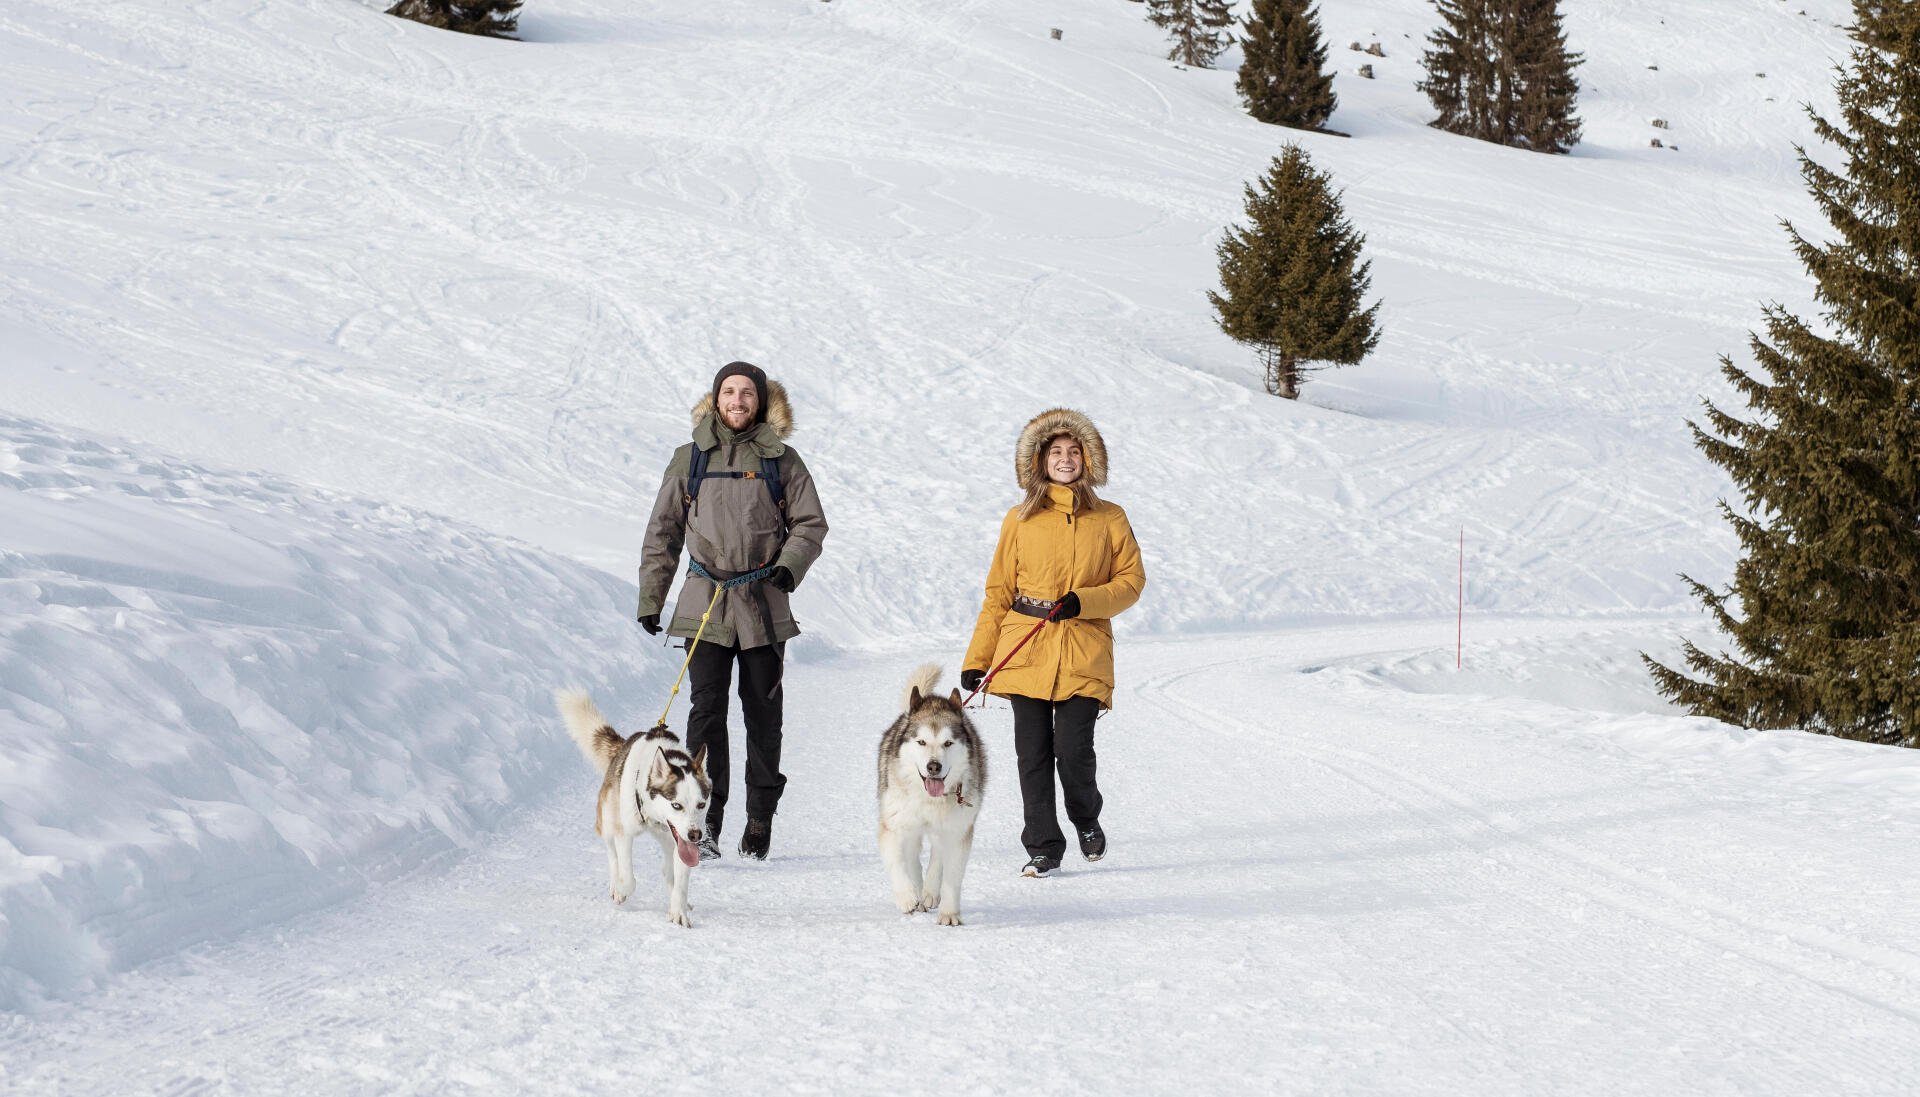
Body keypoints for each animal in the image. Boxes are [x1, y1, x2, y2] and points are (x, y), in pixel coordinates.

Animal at [556, 691, 714, 922]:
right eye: (676, 805)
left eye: (701, 804)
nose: (696, 835)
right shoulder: (625, 833)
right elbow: (629, 877)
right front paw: (621, 890)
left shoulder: (682, 843)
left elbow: (680, 880)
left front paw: (679, 910)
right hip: (608, 819)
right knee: (612, 852)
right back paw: (615, 884)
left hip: (669, 841)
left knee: (667, 870)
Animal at [875, 668, 983, 926]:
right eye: (921, 742)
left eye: (948, 743)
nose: (933, 766)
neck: (929, 799)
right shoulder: (893, 826)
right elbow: (897, 862)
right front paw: (907, 897)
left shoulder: (958, 831)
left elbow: (951, 874)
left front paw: (949, 913)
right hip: (911, 827)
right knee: (913, 857)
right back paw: (917, 892)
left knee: (937, 854)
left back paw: (930, 893)